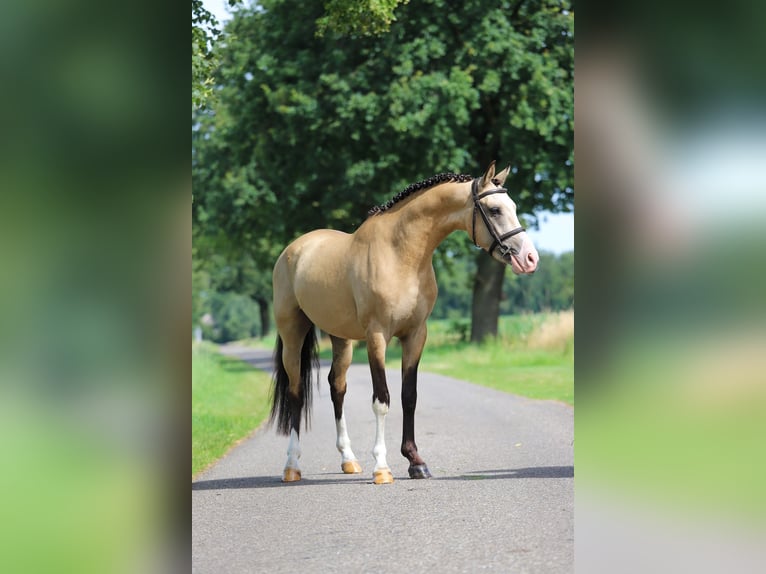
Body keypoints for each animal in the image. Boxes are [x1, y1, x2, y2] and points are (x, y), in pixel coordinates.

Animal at [270, 162, 540, 486]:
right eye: (495, 209)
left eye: (513, 207)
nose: (529, 258)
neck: (400, 254)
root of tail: (293, 250)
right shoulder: (377, 336)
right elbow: (382, 400)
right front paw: (382, 467)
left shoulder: (415, 335)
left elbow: (408, 397)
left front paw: (416, 462)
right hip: (292, 334)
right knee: (296, 392)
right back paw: (291, 465)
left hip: (341, 339)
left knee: (338, 387)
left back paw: (348, 460)